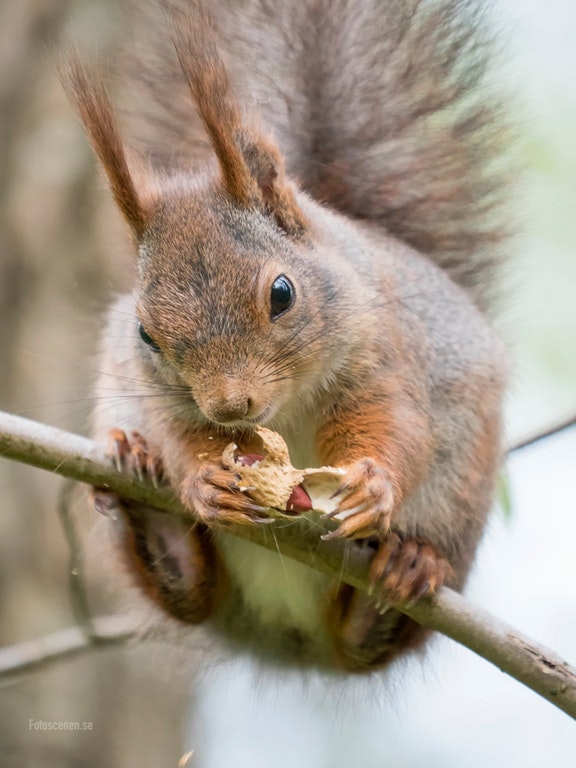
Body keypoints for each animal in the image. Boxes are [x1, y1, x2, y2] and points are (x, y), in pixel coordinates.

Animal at [62, 0, 508, 672]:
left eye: (281, 293)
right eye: (144, 333)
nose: (229, 407)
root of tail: (288, 637)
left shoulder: (381, 355)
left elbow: (395, 422)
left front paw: (373, 483)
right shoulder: (158, 391)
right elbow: (182, 434)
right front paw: (203, 479)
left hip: (459, 496)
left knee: (367, 642)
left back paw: (403, 572)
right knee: (190, 591)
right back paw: (140, 485)